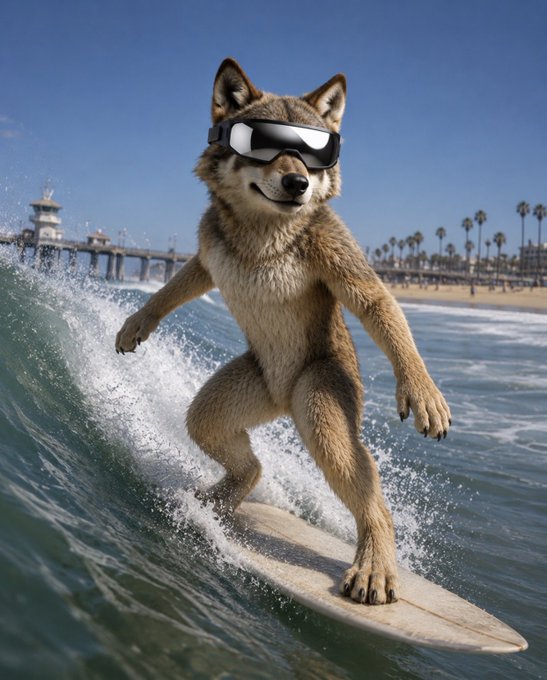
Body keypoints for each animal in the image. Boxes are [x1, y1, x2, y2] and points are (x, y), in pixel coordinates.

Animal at [115, 58, 452, 606]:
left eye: (315, 152)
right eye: (266, 144)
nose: (297, 182)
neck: (261, 230)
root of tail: (282, 399)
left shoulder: (333, 247)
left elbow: (378, 302)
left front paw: (421, 389)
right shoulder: (208, 252)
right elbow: (180, 284)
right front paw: (137, 322)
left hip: (321, 401)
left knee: (368, 495)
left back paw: (374, 566)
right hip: (238, 395)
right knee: (230, 447)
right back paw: (220, 500)